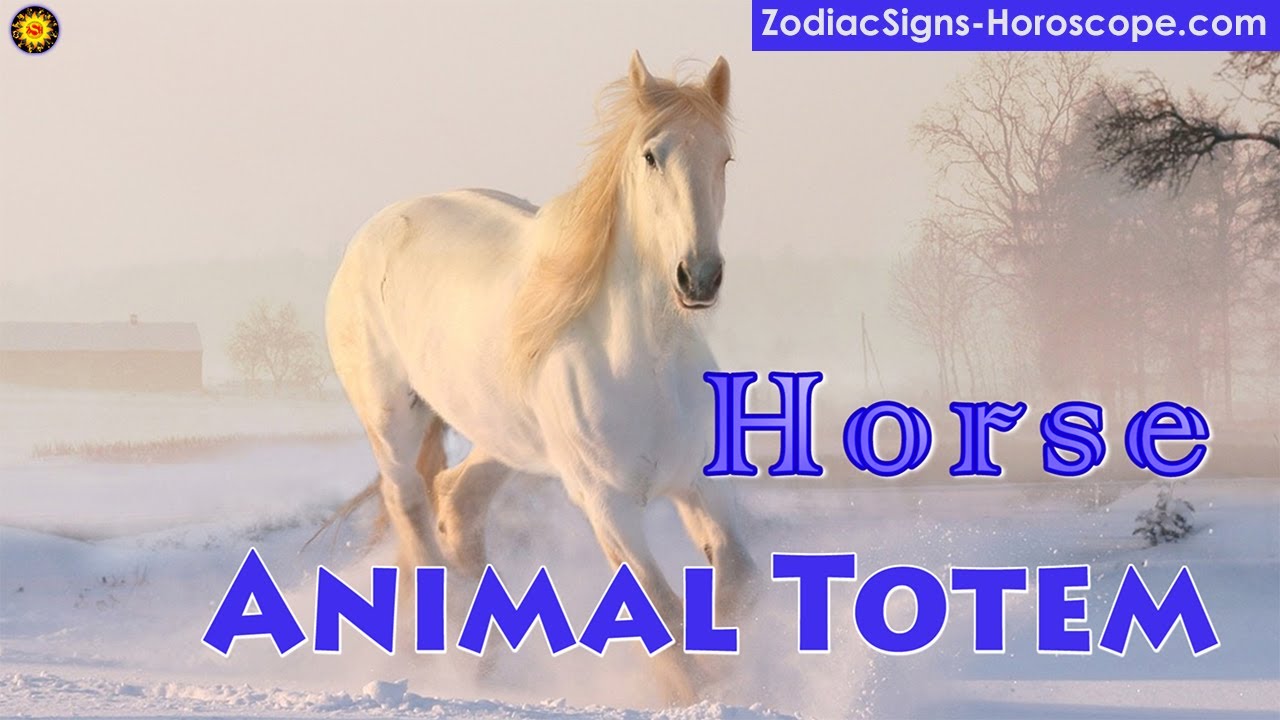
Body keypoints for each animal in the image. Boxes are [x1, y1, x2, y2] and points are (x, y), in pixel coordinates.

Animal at [325, 51, 755, 703]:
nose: (699, 277)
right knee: (413, 515)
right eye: (651, 156)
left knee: (457, 500)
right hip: (392, 420)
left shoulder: (703, 483)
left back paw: (487, 667)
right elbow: (662, 611)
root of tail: (375, 231)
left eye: (724, 158)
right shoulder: (606, 503)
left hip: (505, 439)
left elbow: (736, 582)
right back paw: (441, 664)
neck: (645, 365)